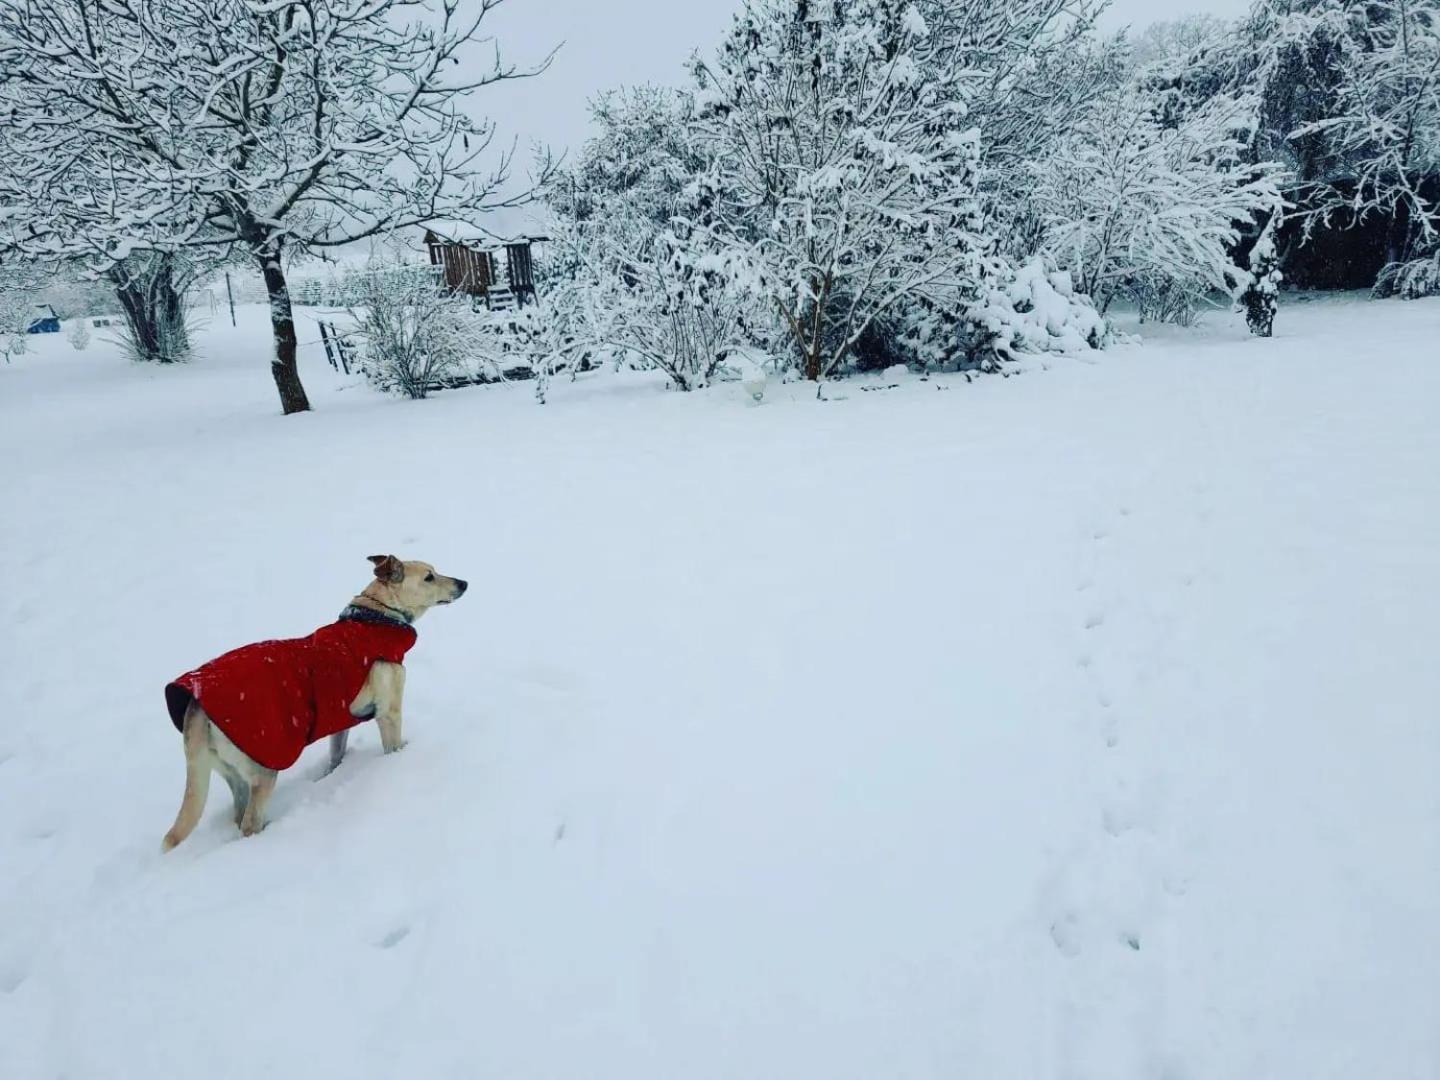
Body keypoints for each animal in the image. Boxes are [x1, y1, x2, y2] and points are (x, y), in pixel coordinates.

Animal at [162, 558, 466, 852]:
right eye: (429, 577)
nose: (464, 583)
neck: (377, 616)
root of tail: (196, 704)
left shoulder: (340, 721)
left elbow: (336, 755)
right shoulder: (389, 711)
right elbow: (393, 746)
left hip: (231, 770)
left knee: (239, 814)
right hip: (263, 769)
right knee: (249, 822)